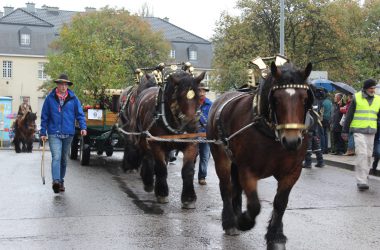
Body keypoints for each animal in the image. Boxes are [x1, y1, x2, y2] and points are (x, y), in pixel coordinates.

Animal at [121, 69, 205, 208]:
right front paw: (161, 193)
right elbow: (160, 168)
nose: (191, 124)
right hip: (143, 138)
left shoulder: (191, 144)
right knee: (147, 157)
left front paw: (188, 198)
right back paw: (148, 181)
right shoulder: (157, 144)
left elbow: (187, 171)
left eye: (199, 96)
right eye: (179, 96)